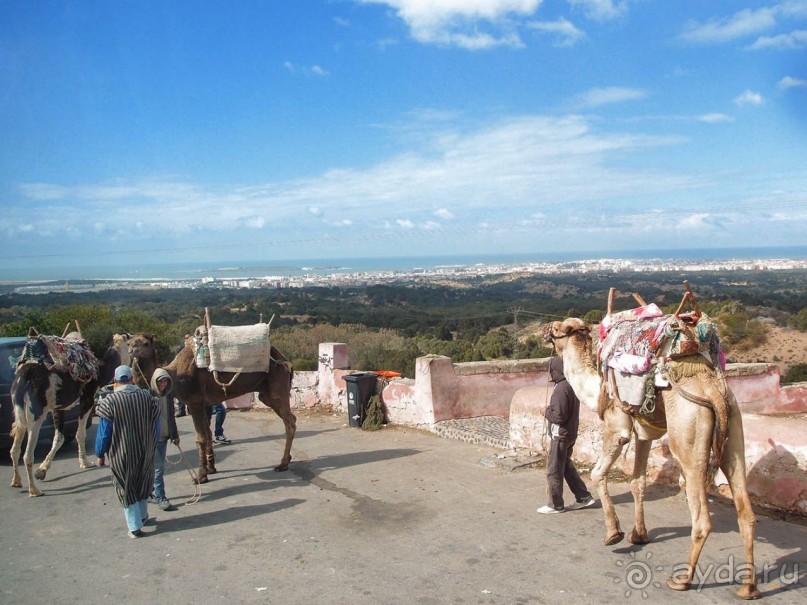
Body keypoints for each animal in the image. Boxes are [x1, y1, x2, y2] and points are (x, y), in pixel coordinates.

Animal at [9, 330, 99, 496]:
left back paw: (16, 481)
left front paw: (42, 470)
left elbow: (59, 437)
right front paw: (85, 462)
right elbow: (80, 433)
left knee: (14, 449)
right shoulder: (88, 399)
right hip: (36, 413)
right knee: (27, 454)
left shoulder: (58, 407)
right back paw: (34, 490)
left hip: (19, 411)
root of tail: (25, 375)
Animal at [159, 342, 296, 484]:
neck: (175, 374)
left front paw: (201, 476)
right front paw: (210, 468)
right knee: (291, 418)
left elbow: (201, 438)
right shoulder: (202, 403)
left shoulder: (194, 402)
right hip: (267, 395)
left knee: (290, 424)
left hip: (277, 389)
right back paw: (287, 459)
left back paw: (282, 464)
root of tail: (286, 362)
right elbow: (208, 434)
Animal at [544, 316, 764, 600]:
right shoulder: (644, 433)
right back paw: (748, 587)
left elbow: (597, 473)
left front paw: (614, 533)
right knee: (745, 510)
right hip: (734, 427)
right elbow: (637, 482)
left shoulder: (617, 428)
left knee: (701, 516)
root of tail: (714, 392)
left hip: (688, 432)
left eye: (558, 328)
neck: (597, 390)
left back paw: (682, 579)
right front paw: (638, 535)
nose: (545, 331)